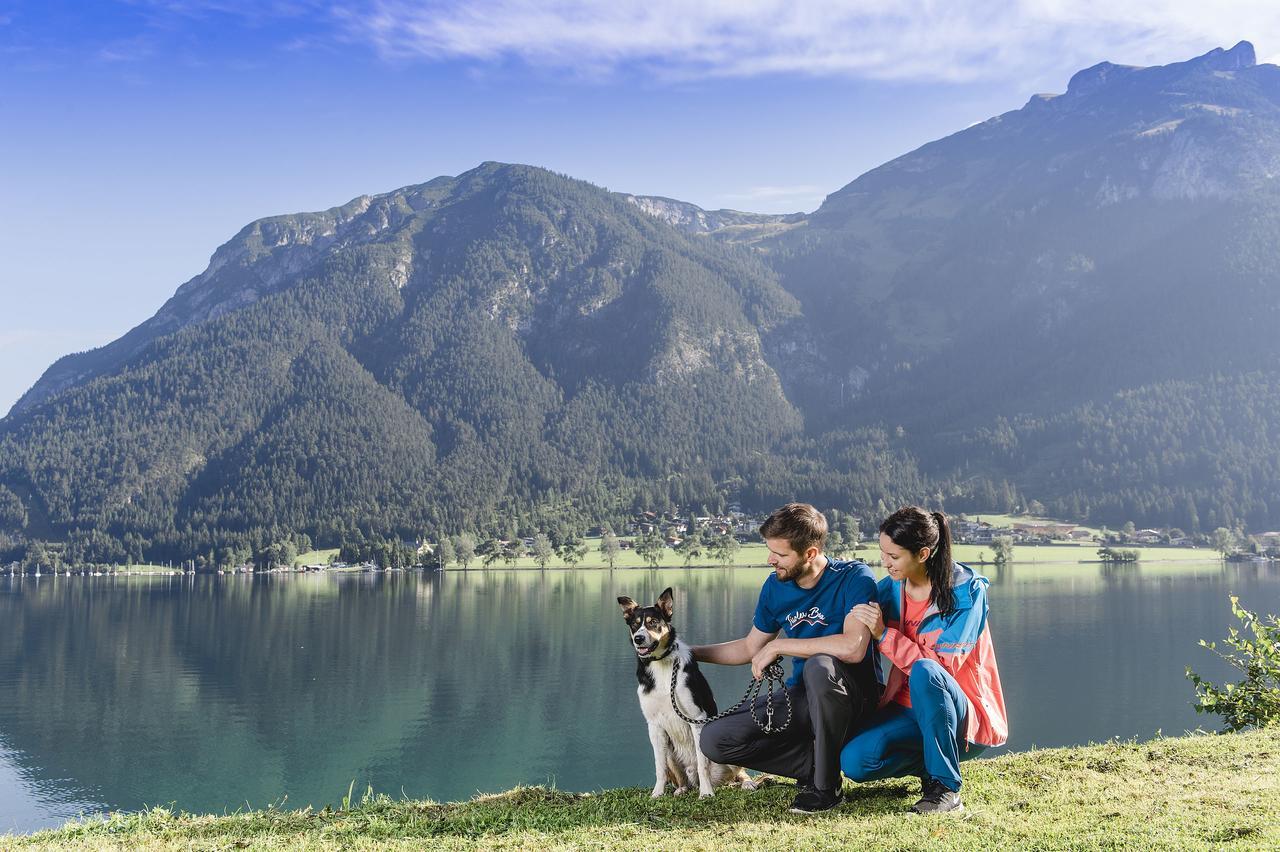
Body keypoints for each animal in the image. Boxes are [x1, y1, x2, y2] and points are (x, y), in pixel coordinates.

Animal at [616, 588, 752, 793]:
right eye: (634, 624)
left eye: (653, 622)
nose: (638, 638)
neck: (661, 664)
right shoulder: (654, 725)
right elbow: (659, 768)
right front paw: (657, 794)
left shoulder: (696, 718)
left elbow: (703, 765)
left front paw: (706, 793)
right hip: (670, 751)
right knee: (679, 777)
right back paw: (681, 789)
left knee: (738, 772)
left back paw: (746, 783)